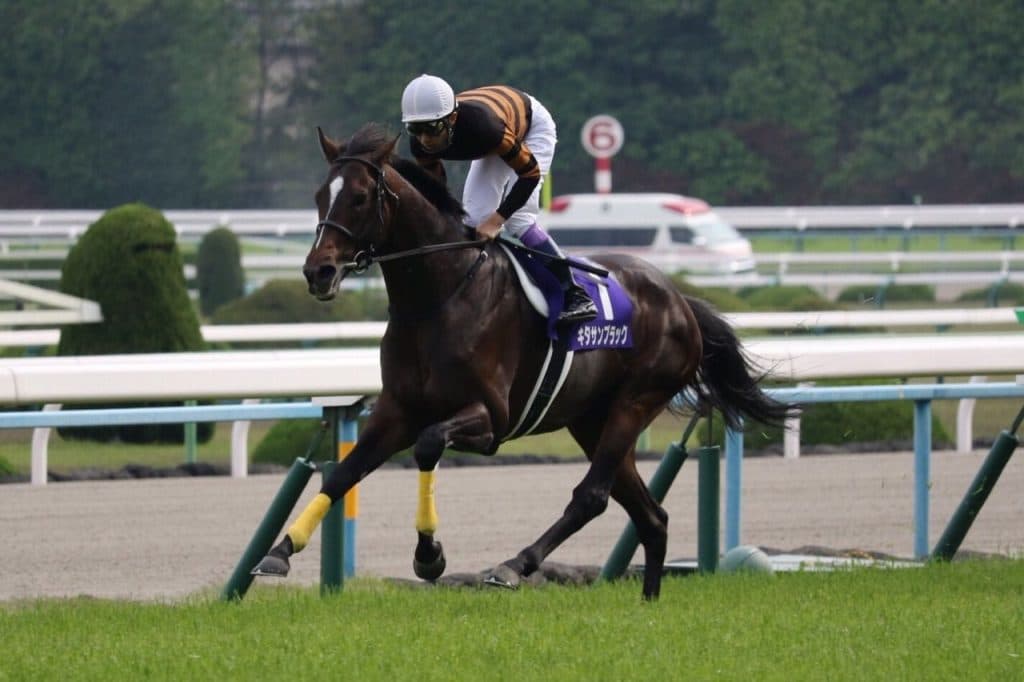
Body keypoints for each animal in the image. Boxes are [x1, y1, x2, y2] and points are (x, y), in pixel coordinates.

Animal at [252, 122, 792, 600]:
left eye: (361, 197)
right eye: (320, 195)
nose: (319, 272)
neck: (440, 295)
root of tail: (682, 301)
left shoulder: (490, 418)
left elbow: (428, 445)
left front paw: (429, 556)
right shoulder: (396, 410)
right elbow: (343, 474)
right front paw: (279, 551)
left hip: (636, 401)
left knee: (592, 496)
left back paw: (514, 564)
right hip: (591, 420)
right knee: (650, 516)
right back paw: (649, 603)